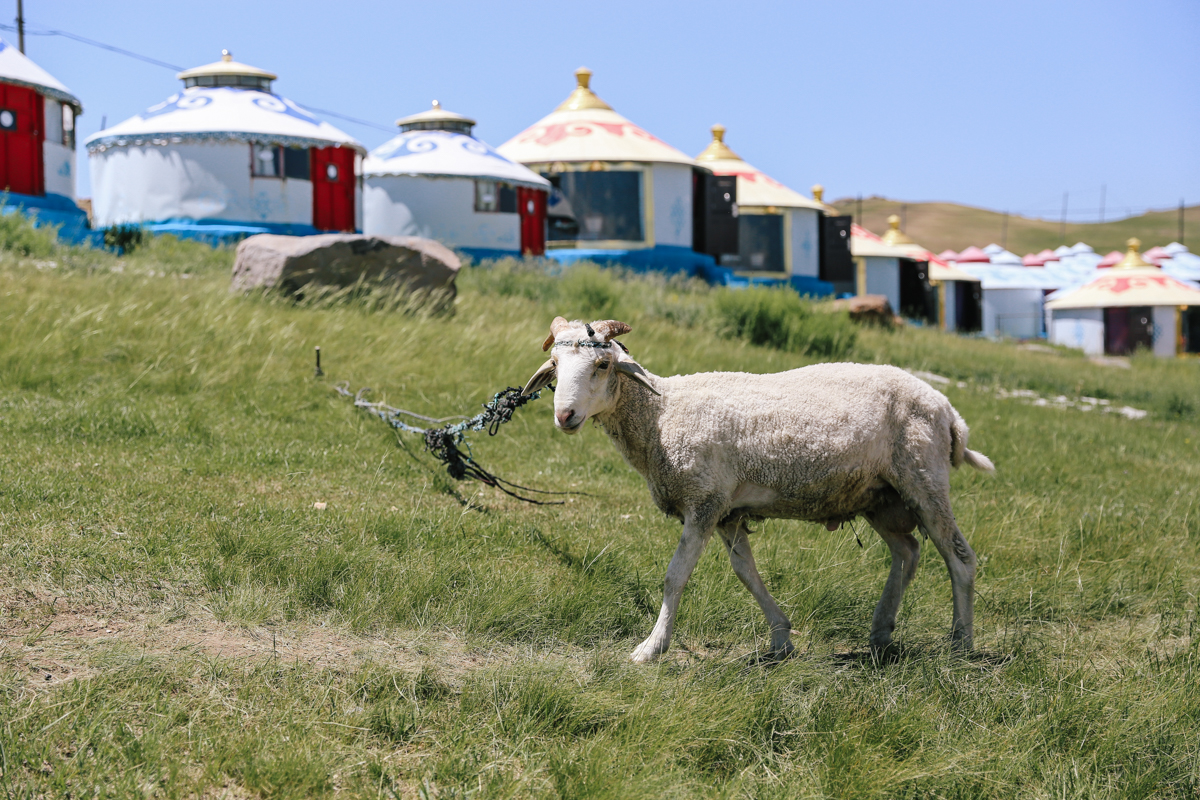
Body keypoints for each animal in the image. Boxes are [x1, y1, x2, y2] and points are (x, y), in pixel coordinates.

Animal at [520, 314, 998, 662]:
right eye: (556, 367)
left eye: (603, 365)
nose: (565, 416)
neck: (661, 413)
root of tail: (949, 411)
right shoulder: (727, 512)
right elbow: (746, 574)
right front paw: (781, 638)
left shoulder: (704, 501)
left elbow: (675, 577)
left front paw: (651, 649)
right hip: (880, 496)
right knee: (908, 551)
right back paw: (881, 631)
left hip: (923, 478)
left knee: (959, 558)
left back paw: (960, 643)